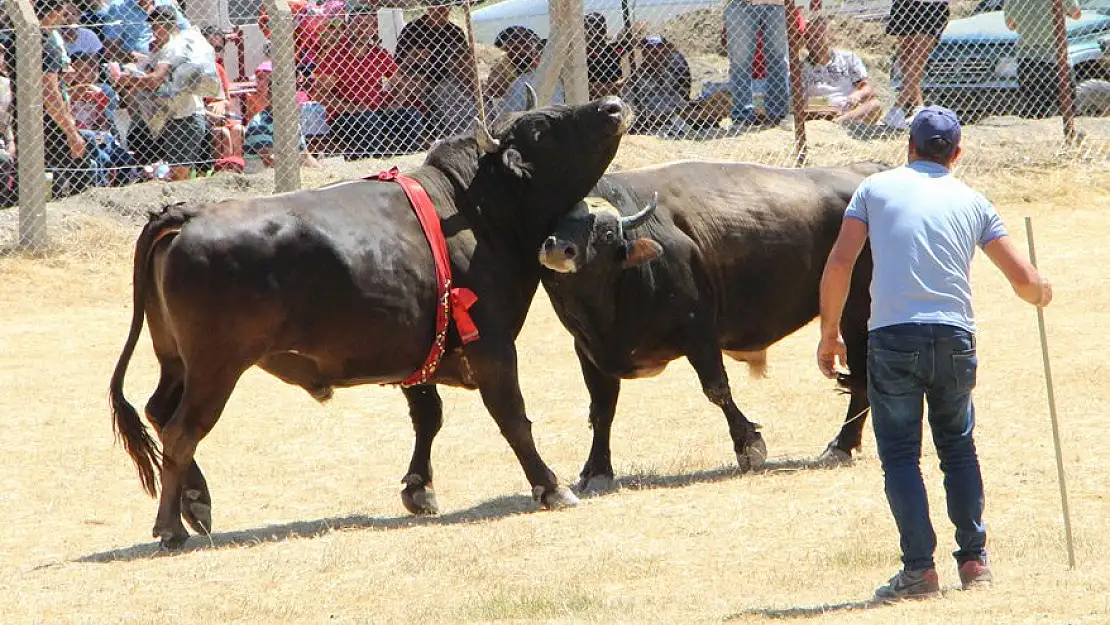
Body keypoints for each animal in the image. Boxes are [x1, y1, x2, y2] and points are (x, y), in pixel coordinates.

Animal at [111, 95, 639, 550]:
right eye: (541, 128)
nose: (613, 106)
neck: (475, 211)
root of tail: (188, 213)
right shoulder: (491, 344)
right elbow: (512, 416)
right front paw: (550, 487)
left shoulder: (418, 349)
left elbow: (428, 416)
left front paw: (418, 488)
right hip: (215, 367)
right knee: (182, 431)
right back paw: (170, 526)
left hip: (176, 360)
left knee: (160, 413)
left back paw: (196, 503)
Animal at [537, 158, 883, 490]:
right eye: (555, 222)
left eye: (607, 233)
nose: (558, 249)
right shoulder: (587, 350)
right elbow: (601, 409)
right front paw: (596, 470)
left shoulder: (698, 332)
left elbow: (717, 389)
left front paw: (749, 445)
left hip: (856, 314)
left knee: (863, 378)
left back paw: (841, 445)